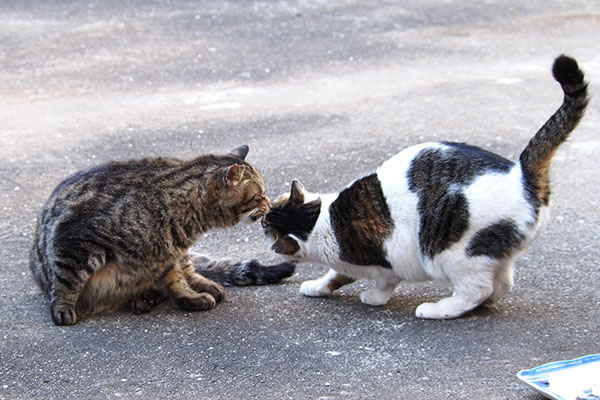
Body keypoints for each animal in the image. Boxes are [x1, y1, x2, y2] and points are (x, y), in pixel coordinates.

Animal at [31, 147, 294, 324]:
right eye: (259, 196)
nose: (270, 204)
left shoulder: (166, 254)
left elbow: (177, 278)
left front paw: (190, 295)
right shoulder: (76, 238)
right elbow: (66, 280)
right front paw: (62, 308)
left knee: (189, 269)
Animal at [264, 55, 592, 318]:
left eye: (268, 228)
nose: (262, 222)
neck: (322, 218)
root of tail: (520, 175)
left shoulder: (382, 258)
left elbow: (377, 281)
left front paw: (372, 297)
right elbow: (334, 277)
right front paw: (317, 287)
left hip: (451, 253)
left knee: (477, 289)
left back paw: (439, 309)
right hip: (491, 254)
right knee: (500, 285)